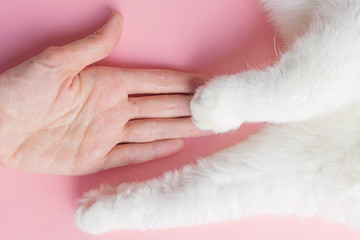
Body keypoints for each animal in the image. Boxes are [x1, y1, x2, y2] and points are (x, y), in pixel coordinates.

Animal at [74, 0, 360, 234]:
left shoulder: (289, 171)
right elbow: (302, 85)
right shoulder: (347, 26)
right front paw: (216, 106)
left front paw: (98, 211)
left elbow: (183, 196)